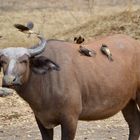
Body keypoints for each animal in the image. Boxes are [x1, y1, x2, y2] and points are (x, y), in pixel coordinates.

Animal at [0, 34, 140, 140]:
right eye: (2, 62)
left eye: (24, 60)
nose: (9, 80)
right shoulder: (41, 120)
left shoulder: (70, 119)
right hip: (127, 101)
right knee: (134, 124)